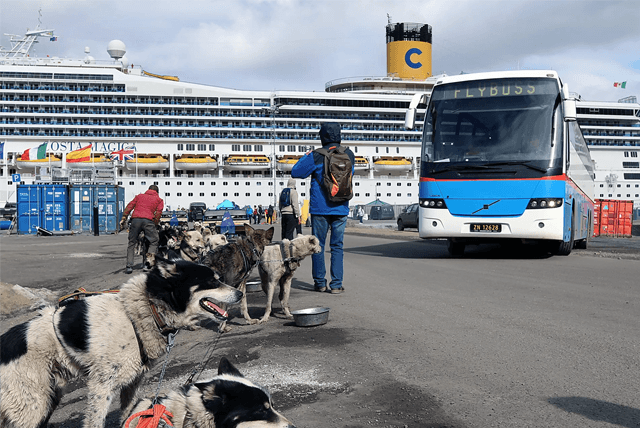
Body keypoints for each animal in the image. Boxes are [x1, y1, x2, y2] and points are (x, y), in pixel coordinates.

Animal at [0, 258, 244, 428]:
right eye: (213, 281)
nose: (240, 293)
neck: (143, 309)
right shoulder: (101, 387)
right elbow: (95, 421)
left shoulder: (132, 382)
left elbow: (130, 414)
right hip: (32, 406)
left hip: (46, 398)